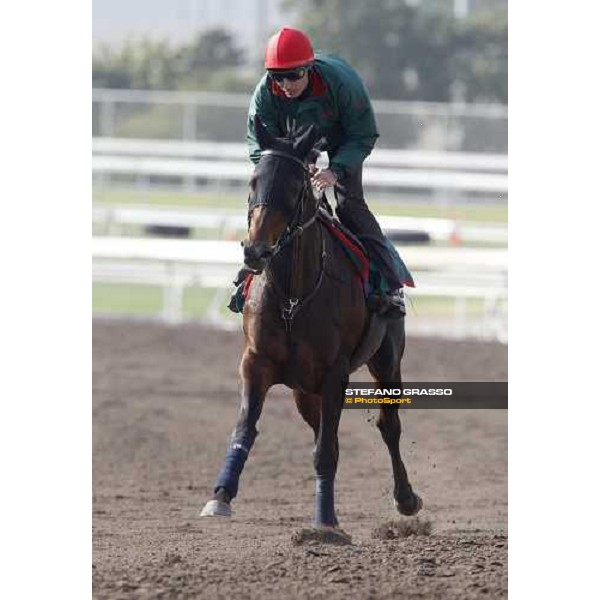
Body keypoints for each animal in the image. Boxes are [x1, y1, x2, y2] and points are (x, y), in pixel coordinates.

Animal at [202, 118, 422, 528]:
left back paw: (406, 498)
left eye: (295, 187)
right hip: (304, 389)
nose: (255, 251)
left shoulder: (335, 372)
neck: (293, 296)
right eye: (253, 181)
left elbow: (326, 450)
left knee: (389, 426)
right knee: (322, 428)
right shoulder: (256, 362)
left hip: (386, 360)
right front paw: (220, 495)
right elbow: (245, 428)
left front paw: (325, 520)